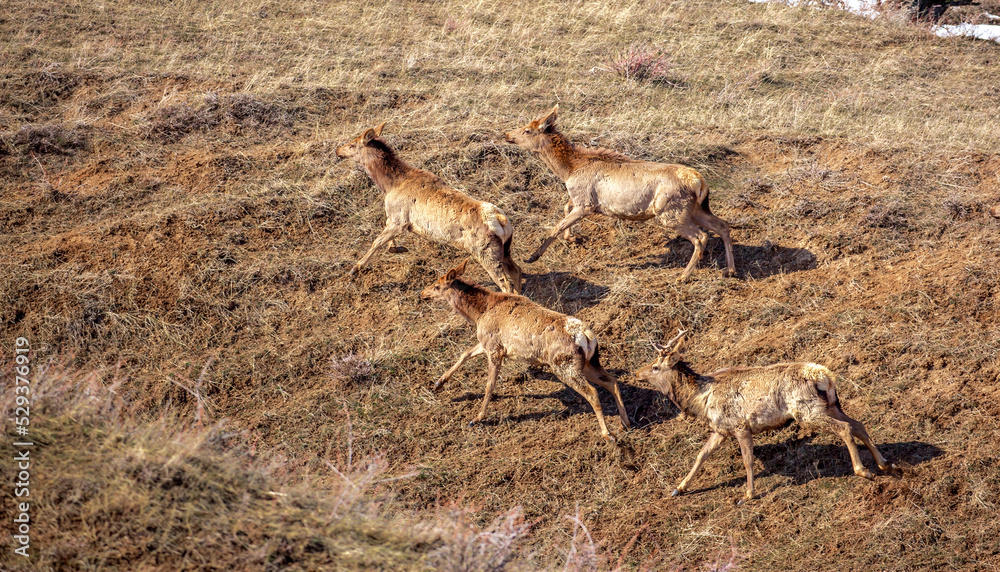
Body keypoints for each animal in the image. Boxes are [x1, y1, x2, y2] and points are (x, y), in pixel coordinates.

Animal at [336, 123, 522, 294]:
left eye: (353, 144)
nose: (338, 150)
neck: (388, 185)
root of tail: (502, 221)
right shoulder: (394, 218)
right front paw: (397, 248)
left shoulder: (400, 219)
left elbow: (377, 242)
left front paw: (355, 268)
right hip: (505, 248)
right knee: (517, 271)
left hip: (485, 251)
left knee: (506, 284)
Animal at [420, 260, 631, 443]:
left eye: (437, 285)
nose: (422, 293)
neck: (478, 314)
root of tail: (586, 336)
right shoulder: (487, 343)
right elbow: (464, 354)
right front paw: (438, 383)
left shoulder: (495, 348)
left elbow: (489, 385)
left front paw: (478, 417)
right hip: (588, 362)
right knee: (612, 381)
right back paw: (626, 422)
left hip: (564, 365)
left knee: (593, 392)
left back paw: (608, 434)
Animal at [504, 105, 736, 282]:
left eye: (527, 130)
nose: (506, 134)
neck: (568, 169)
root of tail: (700, 183)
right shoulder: (580, 201)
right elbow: (565, 208)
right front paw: (572, 238)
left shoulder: (586, 203)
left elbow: (557, 225)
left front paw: (533, 256)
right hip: (695, 209)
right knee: (722, 225)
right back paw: (730, 270)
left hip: (670, 211)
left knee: (701, 236)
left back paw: (683, 276)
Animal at [635, 331, 896, 502]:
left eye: (655, 367)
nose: (637, 373)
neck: (701, 400)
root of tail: (826, 377)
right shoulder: (721, 429)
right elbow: (701, 455)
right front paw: (679, 488)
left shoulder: (740, 425)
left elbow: (747, 460)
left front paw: (747, 495)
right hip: (831, 405)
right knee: (858, 424)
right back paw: (884, 463)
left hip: (807, 411)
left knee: (845, 429)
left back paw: (863, 470)